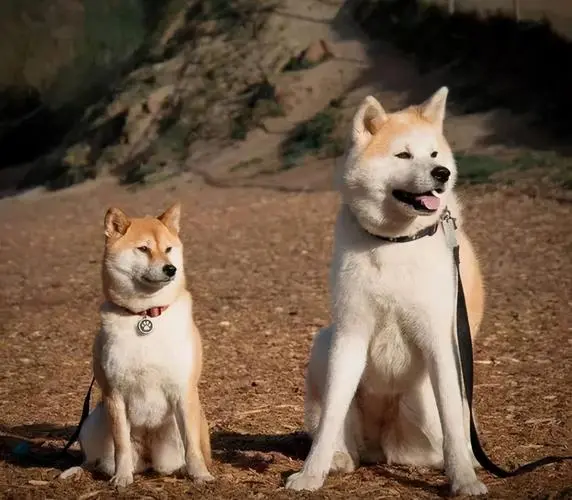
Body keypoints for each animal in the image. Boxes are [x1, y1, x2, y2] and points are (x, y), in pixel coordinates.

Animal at [286, 87, 488, 496]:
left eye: (434, 155)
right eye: (403, 155)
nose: (441, 174)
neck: (395, 242)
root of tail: (381, 444)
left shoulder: (441, 340)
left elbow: (453, 423)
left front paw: (464, 479)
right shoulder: (350, 333)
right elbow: (331, 417)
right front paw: (311, 475)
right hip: (324, 343)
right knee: (341, 434)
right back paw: (339, 459)